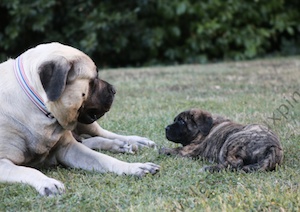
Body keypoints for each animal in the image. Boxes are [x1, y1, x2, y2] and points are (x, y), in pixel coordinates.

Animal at [0, 42, 159, 196]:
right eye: (93, 80)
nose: (114, 90)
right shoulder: (3, 163)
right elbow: (28, 170)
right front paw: (48, 182)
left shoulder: (68, 148)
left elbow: (104, 158)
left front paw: (134, 167)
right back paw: (120, 145)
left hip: (85, 124)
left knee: (101, 134)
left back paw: (133, 142)